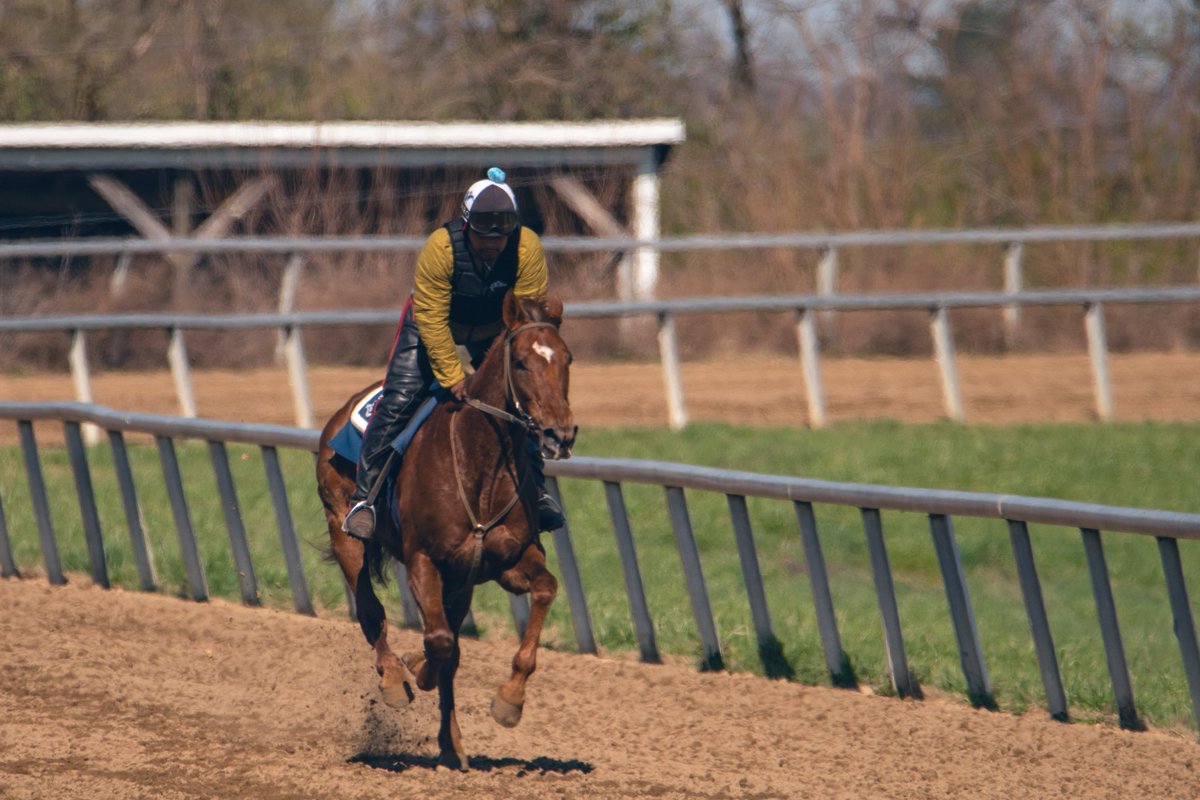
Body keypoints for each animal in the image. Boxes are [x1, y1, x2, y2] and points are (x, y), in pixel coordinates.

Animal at [316, 292, 576, 770]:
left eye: (567, 358)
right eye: (522, 363)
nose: (559, 434)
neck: (482, 464)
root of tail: (344, 411)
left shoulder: (508, 561)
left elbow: (544, 590)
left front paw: (510, 699)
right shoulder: (424, 560)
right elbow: (438, 642)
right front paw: (416, 669)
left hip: (461, 579)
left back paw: (451, 743)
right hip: (345, 533)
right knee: (372, 613)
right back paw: (395, 678)